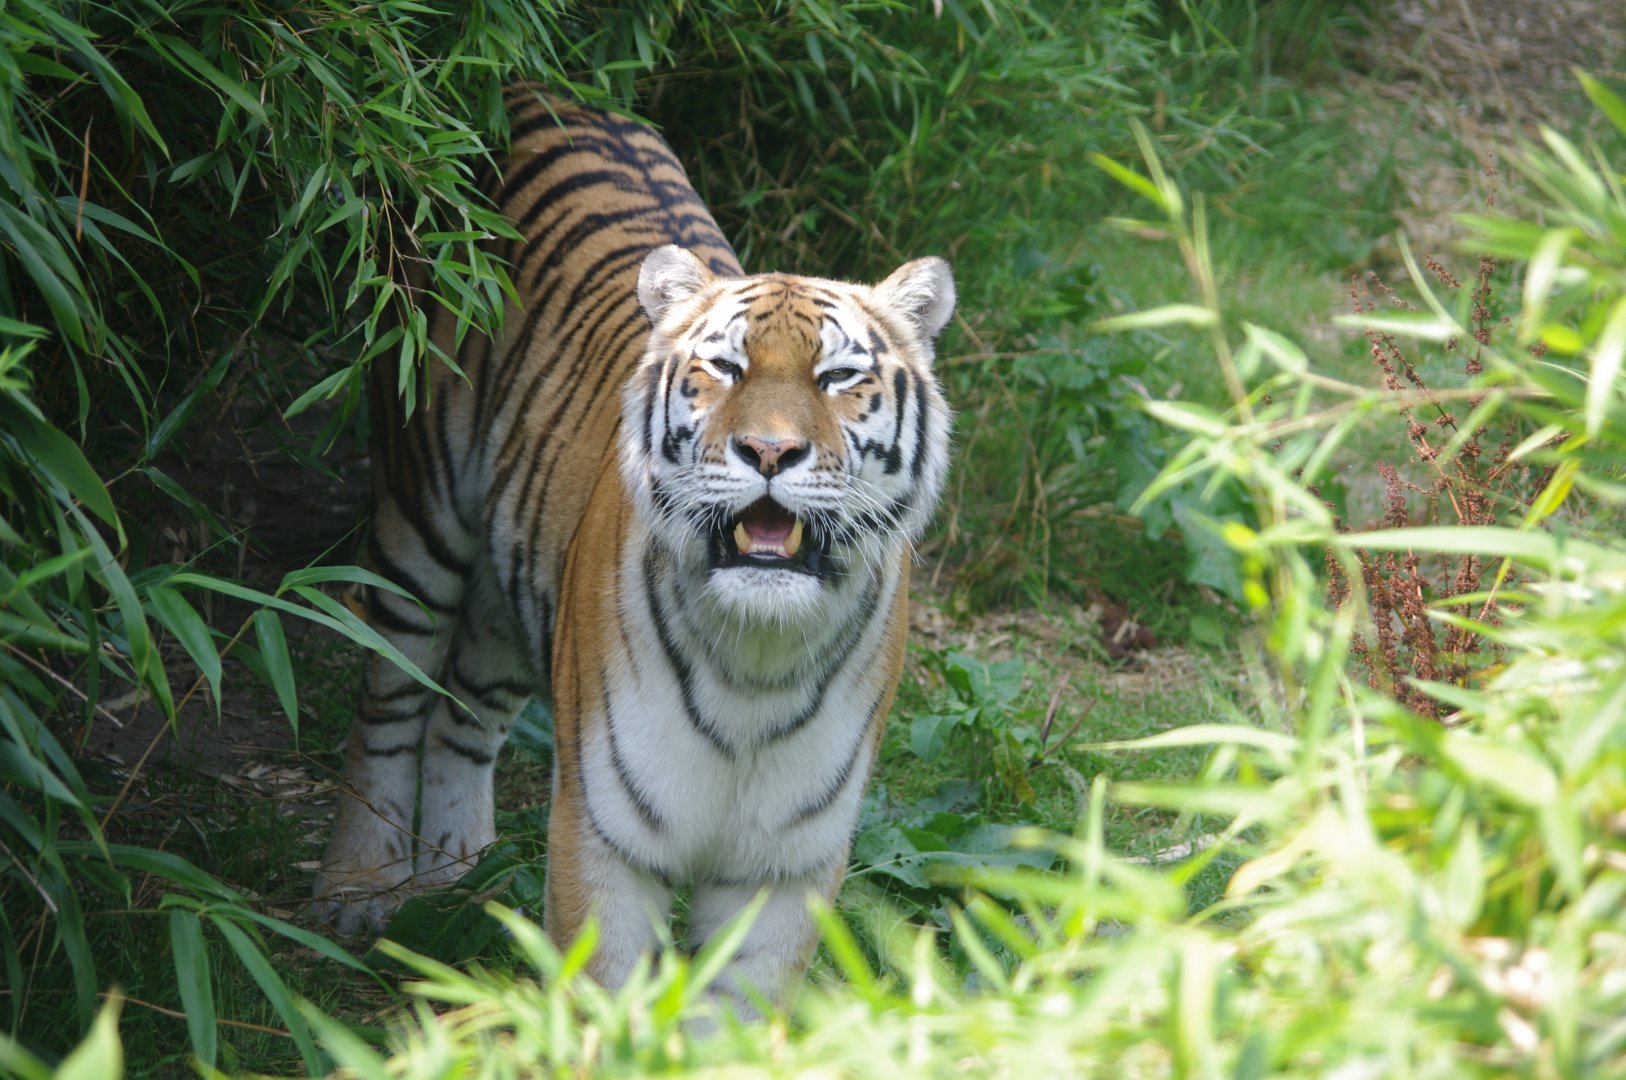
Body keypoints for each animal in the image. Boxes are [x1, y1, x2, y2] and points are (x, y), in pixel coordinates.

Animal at [311, 87, 955, 1010]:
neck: (756, 661)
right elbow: (605, 998)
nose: (769, 451)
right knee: (390, 698)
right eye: (724, 369)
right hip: (418, 514)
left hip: (513, 582)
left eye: (838, 378)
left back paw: (455, 882)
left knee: (464, 712)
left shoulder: (783, 867)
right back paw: (360, 886)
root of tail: (539, 88)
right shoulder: (603, 834)